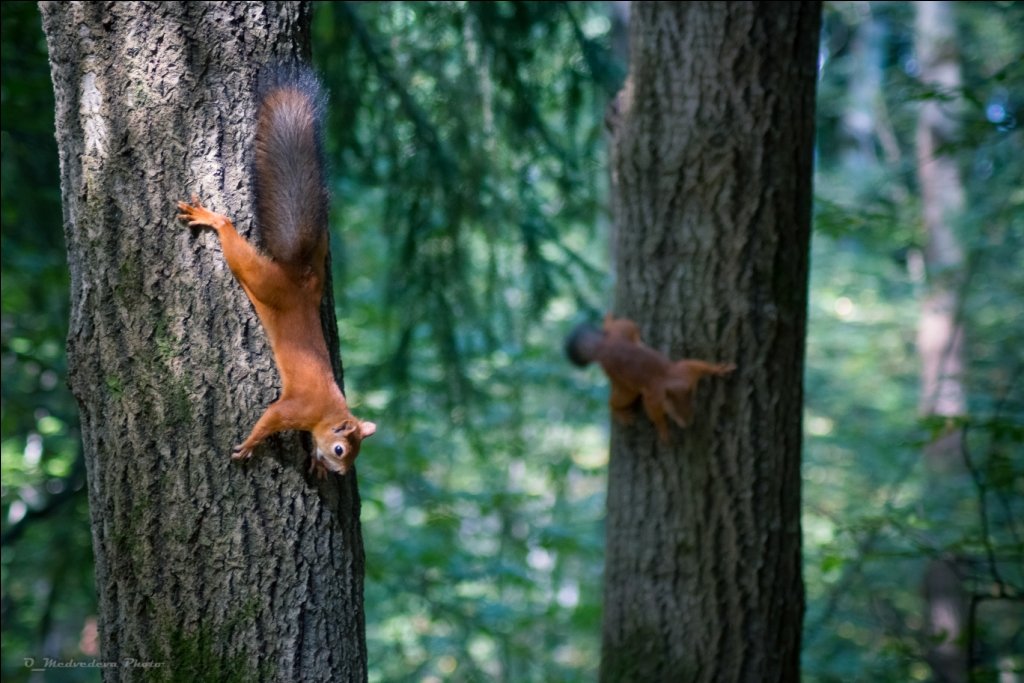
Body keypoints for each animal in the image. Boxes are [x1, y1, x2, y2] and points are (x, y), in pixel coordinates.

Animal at [179, 66, 376, 479]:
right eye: (340, 449)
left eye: (355, 454)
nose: (341, 473)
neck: (329, 411)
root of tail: (297, 277)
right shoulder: (293, 408)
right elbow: (268, 420)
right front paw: (249, 446)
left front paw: (314, 463)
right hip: (263, 280)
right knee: (234, 243)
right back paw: (212, 220)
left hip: (311, 273)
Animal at [565, 317, 733, 444]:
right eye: (673, 412)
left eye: (692, 405)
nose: (687, 424)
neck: (670, 380)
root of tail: (603, 347)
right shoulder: (653, 397)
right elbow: (654, 414)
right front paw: (663, 429)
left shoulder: (686, 373)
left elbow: (699, 365)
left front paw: (719, 369)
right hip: (626, 390)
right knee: (614, 401)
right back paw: (620, 414)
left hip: (624, 329)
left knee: (618, 325)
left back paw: (610, 320)